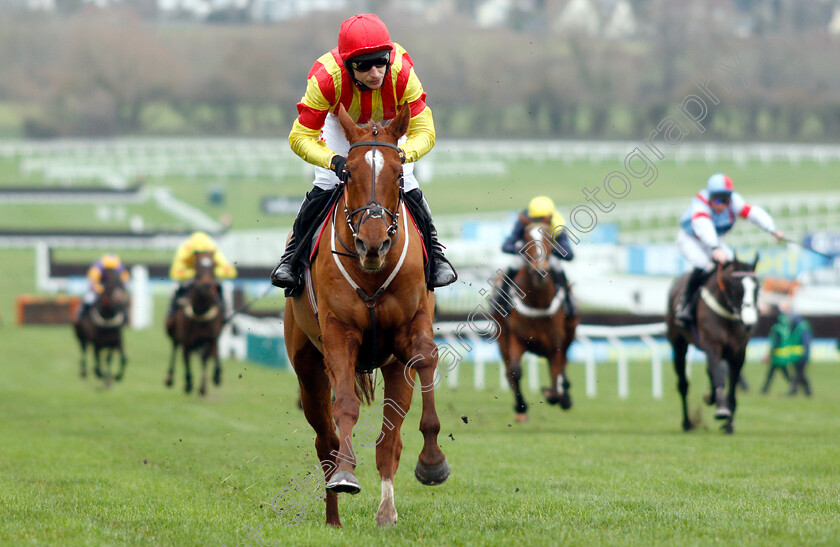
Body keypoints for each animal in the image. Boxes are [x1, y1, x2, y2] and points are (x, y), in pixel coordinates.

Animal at [164, 250, 221, 396]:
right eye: (197, 267)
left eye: (213, 266)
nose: (206, 285)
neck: (200, 312)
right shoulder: (186, 341)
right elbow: (186, 359)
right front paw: (188, 384)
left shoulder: (209, 338)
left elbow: (208, 357)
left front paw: (206, 384)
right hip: (172, 331)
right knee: (174, 348)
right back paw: (170, 378)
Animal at [284, 105, 450, 528]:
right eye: (348, 175)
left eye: (399, 174)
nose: (372, 242)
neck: (372, 271)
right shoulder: (339, 335)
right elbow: (344, 404)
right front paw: (346, 474)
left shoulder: (409, 332)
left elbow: (426, 358)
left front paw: (432, 462)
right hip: (307, 367)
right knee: (324, 440)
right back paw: (333, 516)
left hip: (392, 367)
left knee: (389, 441)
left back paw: (386, 511)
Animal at [492, 222, 576, 424]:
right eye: (526, 238)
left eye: (549, 237)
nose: (540, 270)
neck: (538, 302)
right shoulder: (516, 337)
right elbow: (515, 371)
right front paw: (521, 406)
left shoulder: (556, 343)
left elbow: (557, 370)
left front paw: (557, 395)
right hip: (501, 338)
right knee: (508, 372)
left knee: (563, 364)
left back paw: (564, 395)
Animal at [668, 258, 760, 436]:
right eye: (737, 286)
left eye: (757, 287)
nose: (750, 322)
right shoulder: (712, 345)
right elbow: (718, 376)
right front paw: (722, 409)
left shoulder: (738, 352)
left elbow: (732, 387)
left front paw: (729, 424)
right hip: (679, 345)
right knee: (683, 384)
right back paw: (687, 422)